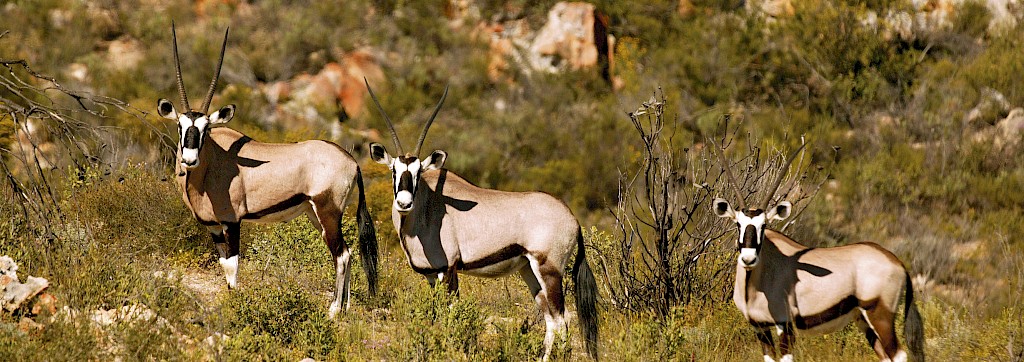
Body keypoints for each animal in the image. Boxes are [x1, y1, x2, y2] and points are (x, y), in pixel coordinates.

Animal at [157, 24, 382, 317]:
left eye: (206, 129)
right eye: (180, 126)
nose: (190, 159)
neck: (210, 166)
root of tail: (352, 162)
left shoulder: (232, 222)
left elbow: (233, 266)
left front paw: (236, 305)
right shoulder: (214, 227)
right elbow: (223, 265)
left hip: (328, 212)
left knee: (342, 254)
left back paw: (333, 310)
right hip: (314, 213)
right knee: (347, 252)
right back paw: (345, 307)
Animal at [364, 81, 598, 359]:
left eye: (418, 172)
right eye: (394, 171)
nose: (404, 203)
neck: (428, 208)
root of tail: (572, 219)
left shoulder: (448, 269)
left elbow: (451, 314)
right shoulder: (431, 276)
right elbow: (436, 315)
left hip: (549, 270)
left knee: (562, 319)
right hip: (529, 271)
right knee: (551, 319)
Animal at [712, 145, 929, 362]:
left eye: (763, 226)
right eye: (738, 224)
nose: (748, 259)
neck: (759, 279)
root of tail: (897, 262)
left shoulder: (785, 326)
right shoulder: (760, 327)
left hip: (879, 314)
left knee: (899, 355)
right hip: (863, 319)